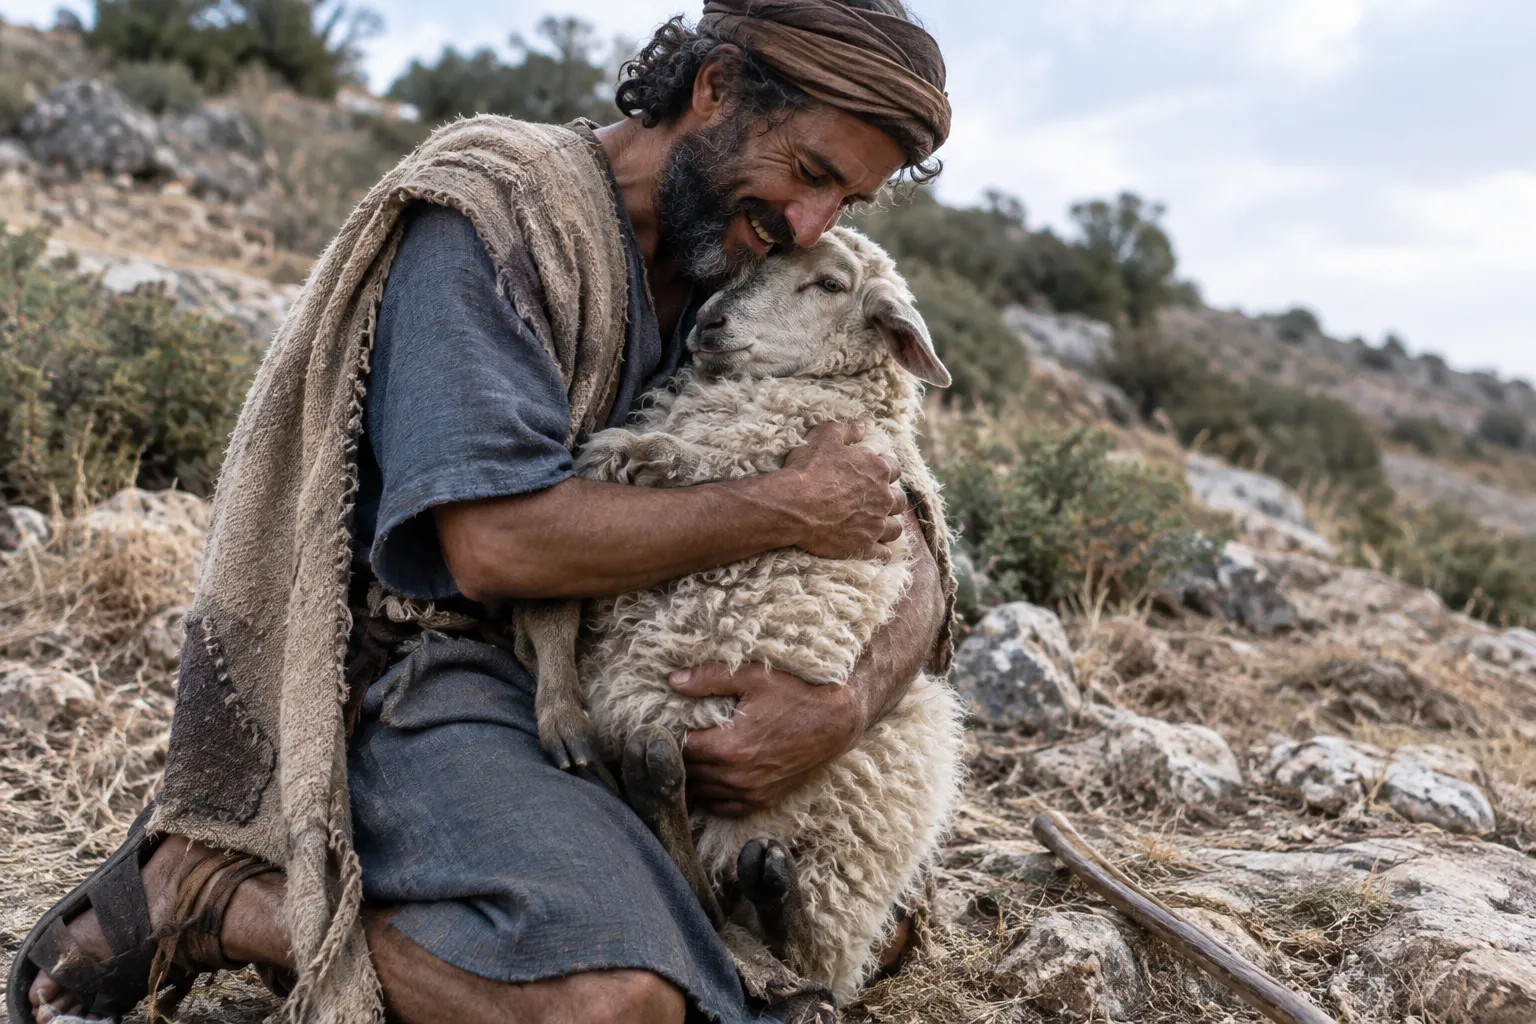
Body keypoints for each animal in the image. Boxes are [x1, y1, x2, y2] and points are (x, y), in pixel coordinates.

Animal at [537, 225, 967, 999]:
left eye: (830, 284)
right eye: (758, 258)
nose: (710, 324)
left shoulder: (764, 445)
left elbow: (682, 460)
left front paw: (641, 454)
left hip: (890, 767)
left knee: (793, 949)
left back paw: (757, 881)